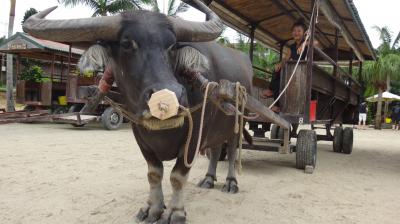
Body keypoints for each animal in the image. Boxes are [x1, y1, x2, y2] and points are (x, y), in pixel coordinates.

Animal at [22, 1, 253, 222]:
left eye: (171, 46)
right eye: (127, 44)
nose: (168, 96)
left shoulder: (195, 136)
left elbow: (177, 176)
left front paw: (176, 212)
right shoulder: (140, 135)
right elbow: (154, 173)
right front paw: (153, 208)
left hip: (237, 122)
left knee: (232, 151)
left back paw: (231, 182)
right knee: (216, 149)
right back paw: (208, 179)